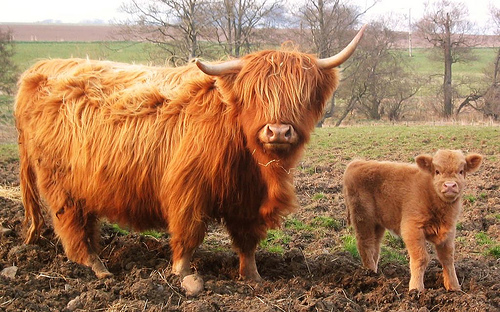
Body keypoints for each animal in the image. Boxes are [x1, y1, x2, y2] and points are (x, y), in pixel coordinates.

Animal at [344, 150, 480, 292]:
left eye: (461, 171)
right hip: (363, 219)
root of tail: (357, 162)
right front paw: (416, 288)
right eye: (437, 171)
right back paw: (369, 274)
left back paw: (374, 273)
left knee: (375, 248)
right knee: (366, 245)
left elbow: (447, 258)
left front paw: (454, 287)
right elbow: (421, 258)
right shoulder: (412, 228)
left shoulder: (449, 231)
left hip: (377, 224)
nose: (449, 185)